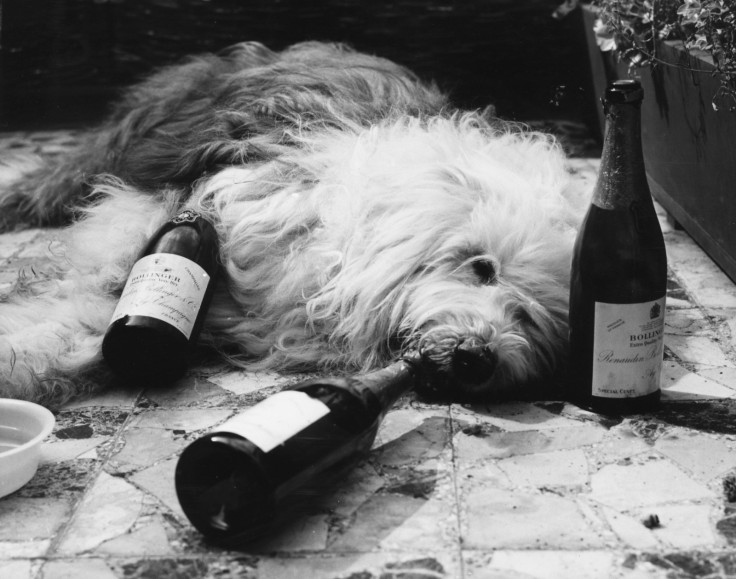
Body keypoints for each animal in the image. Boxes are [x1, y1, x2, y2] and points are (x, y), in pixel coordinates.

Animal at [0, 40, 588, 406]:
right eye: (481, 267)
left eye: (535, 319)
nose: (477, 356)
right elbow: (90, 292)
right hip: (130, 140)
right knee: (53, 181)